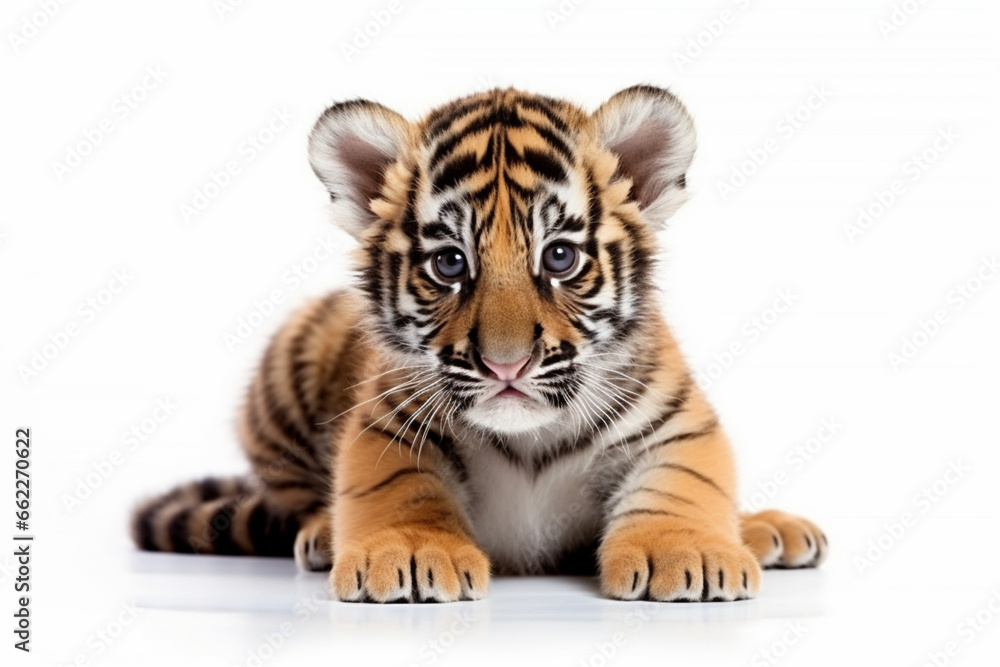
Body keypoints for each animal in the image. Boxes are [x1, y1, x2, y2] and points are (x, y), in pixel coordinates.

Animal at [131, 85, 827, 603]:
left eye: (560, 256)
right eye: (449, 263)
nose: (505, 364)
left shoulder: (676, 421)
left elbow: (683, 482)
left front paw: (688, 552)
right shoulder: (387, 421)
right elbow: (400, 488)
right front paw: (413, 552)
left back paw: (765, 529)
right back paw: (323, 534)